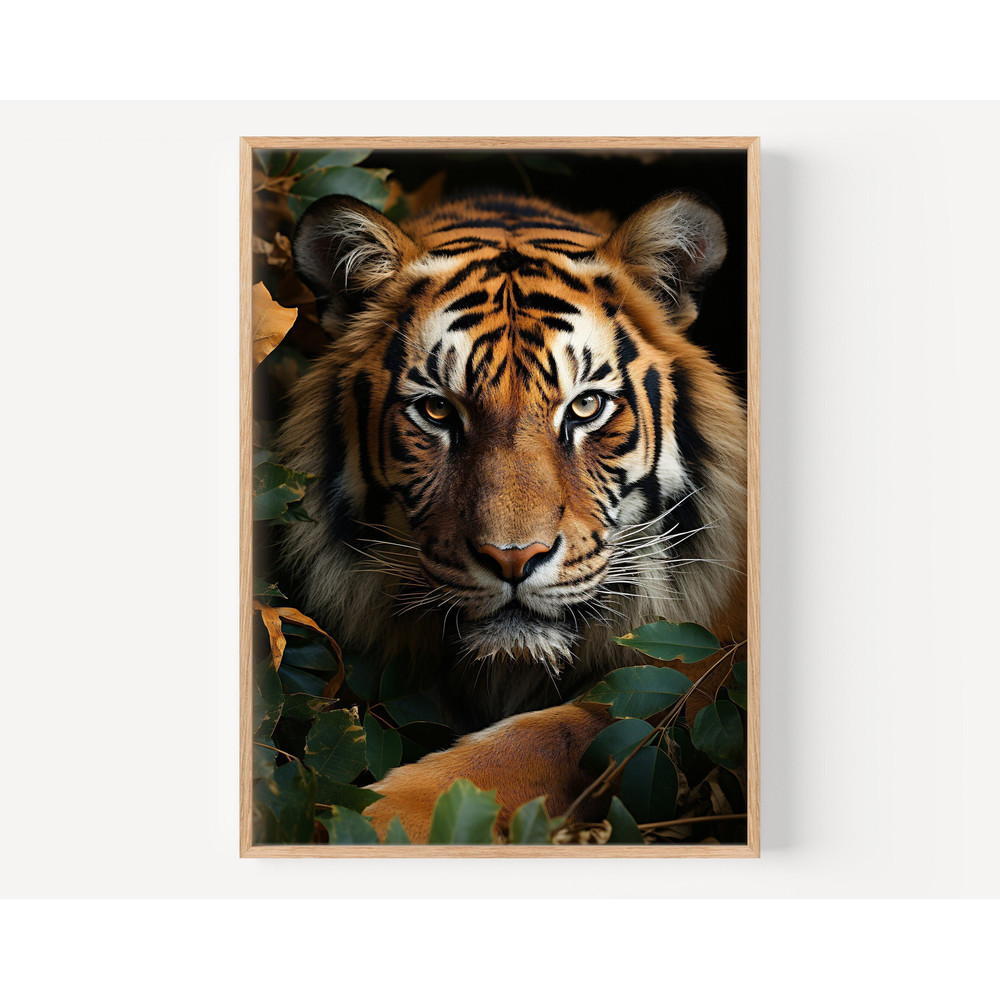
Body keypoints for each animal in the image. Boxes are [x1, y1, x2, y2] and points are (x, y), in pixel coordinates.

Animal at [279, 188, 747, 842]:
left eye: (586, 406)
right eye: (437, 411)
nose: (513, 559)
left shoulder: (701, 668)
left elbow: (551, 737)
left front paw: (370, 818)